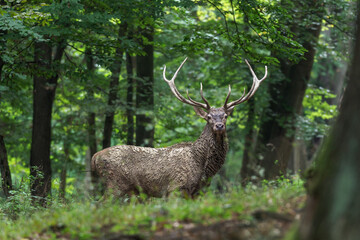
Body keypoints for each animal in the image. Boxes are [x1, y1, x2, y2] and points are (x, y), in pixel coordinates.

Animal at [91, 57, 268, 199]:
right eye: (209, 117)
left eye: (225, 116)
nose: (219, 126)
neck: (203, 168)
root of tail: (94, 157)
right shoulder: (176, 187)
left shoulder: (199, 192)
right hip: (115, 184)